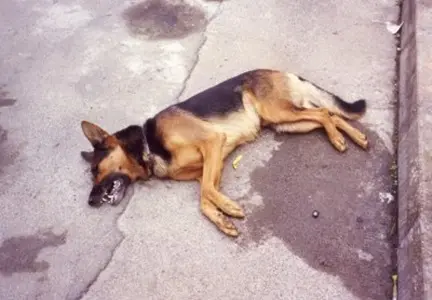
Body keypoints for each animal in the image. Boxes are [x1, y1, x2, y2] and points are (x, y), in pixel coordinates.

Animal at [80, 68, 368, 237]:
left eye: (96, 169)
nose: (90, 202)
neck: (149, 145)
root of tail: (278, 70)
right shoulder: (210, 165)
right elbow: (204, 197)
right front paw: (221, 218)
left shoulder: (213, 143)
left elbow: (207, 191)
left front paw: (229, 207)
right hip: (286, 123)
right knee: (329, 115)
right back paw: (355, 138)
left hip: (279, 113)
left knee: (324, 112)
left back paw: (337, 139)